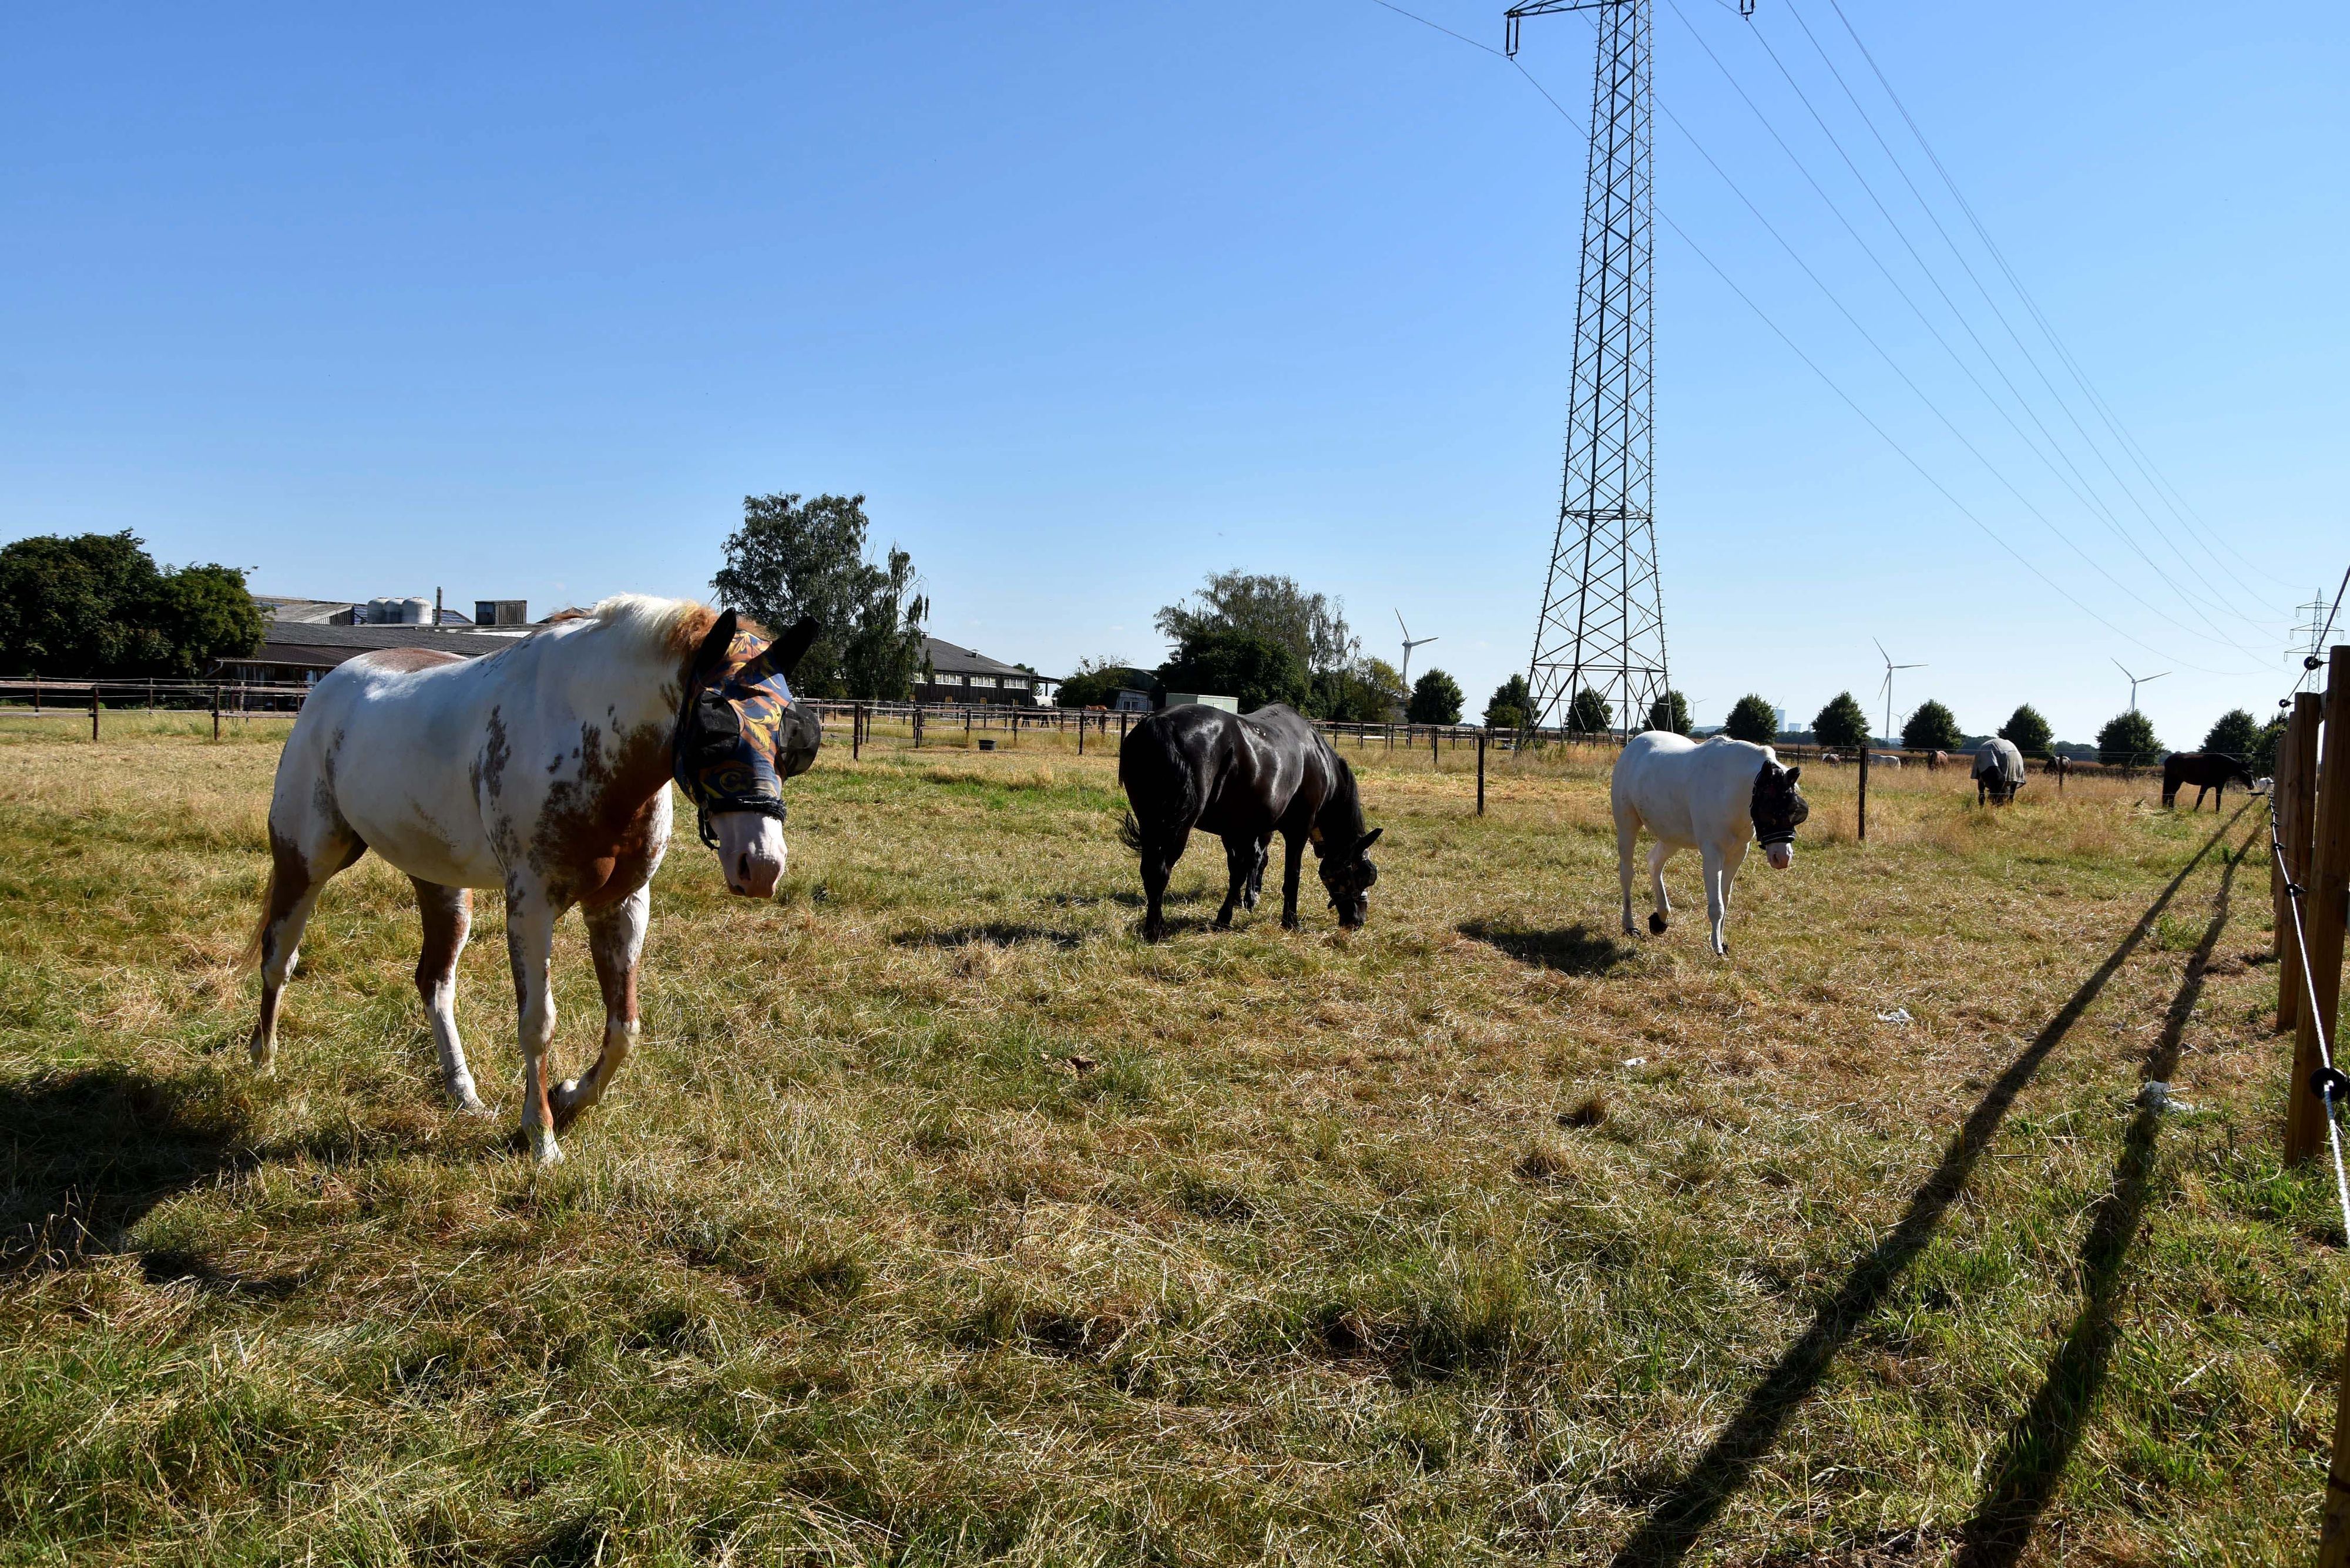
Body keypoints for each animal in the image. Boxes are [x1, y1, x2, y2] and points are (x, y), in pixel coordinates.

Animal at [247, 595, 822, 1164]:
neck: (589, 741)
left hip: (442, 884)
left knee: (435, 982)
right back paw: (263, 1060)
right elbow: (538, 1024)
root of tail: (327, 688)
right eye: (714, 730)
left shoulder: (621, 904)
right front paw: (541, 1136)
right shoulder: (531, 905)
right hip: (307, 861)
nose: (762, 864)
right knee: (279, 957)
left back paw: (464, 1093)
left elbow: (624, 1028)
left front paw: (569, 1098)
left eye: (793, 739)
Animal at [1118, 703, 1381, 942]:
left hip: (1151, 824)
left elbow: (1239, 870)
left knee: (1150, 870)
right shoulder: (1297, 830)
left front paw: (1228, 915)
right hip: (1177, 828)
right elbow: (1290, 876)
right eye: (1363, 874)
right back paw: (1155, 930)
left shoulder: (1241, 830)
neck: (1317, 758)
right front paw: (1290, 921)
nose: (1358, 921)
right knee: (1160, 871)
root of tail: (1159, 724)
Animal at [1612, 733, 1808, 958]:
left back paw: (1660, 920)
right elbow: (1717, 906)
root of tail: (1634, 745)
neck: (1730, 787)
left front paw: (1721, 941)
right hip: (1627, 826)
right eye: (1769, 806)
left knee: (1654, 862)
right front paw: (1717, 948)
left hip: (1673, 837)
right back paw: (1629, 925)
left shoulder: (1738, 853)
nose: (1782, 858)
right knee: (1627, 873)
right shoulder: (1713, 853)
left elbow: (1725, 899)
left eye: (1795, 809)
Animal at [2161, 751, 2255, 811]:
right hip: (2174, 780)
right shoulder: (2205, 786)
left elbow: (2218, 801)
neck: (2221, 766)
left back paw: (2171, 809)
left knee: (2171, 794)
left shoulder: (2219, 787)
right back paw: (2171, 809)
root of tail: (2168, 759)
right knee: (2170, 794)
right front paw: (2194, 811)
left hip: (2177, 781)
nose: (2252, 786)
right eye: (2246, 773)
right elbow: (2200, 799)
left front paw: (2217, 813)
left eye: (2252, 772)